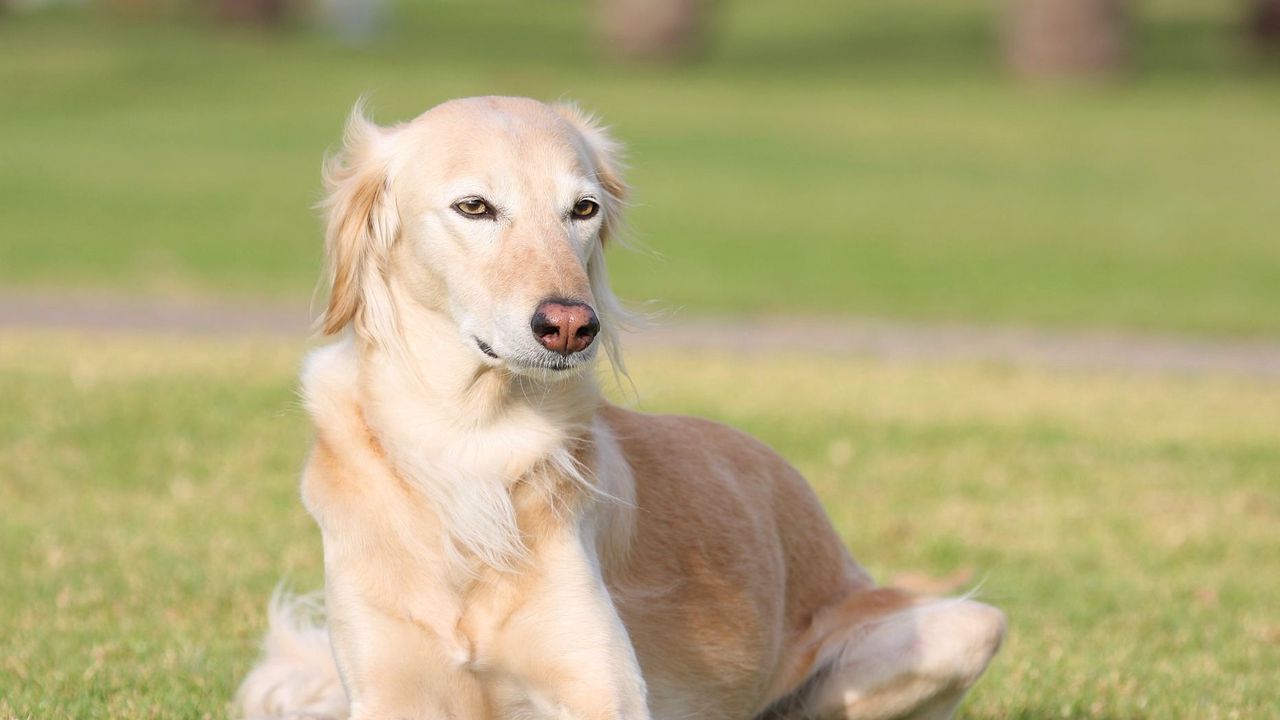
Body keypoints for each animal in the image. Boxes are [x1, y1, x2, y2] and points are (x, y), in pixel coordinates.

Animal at [235, 96, 1003, 717]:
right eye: (474, 206)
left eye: (583, 208)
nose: (572, 325)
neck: (469, 440)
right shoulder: (392, 688)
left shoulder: (603, 687)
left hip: (963, 630)